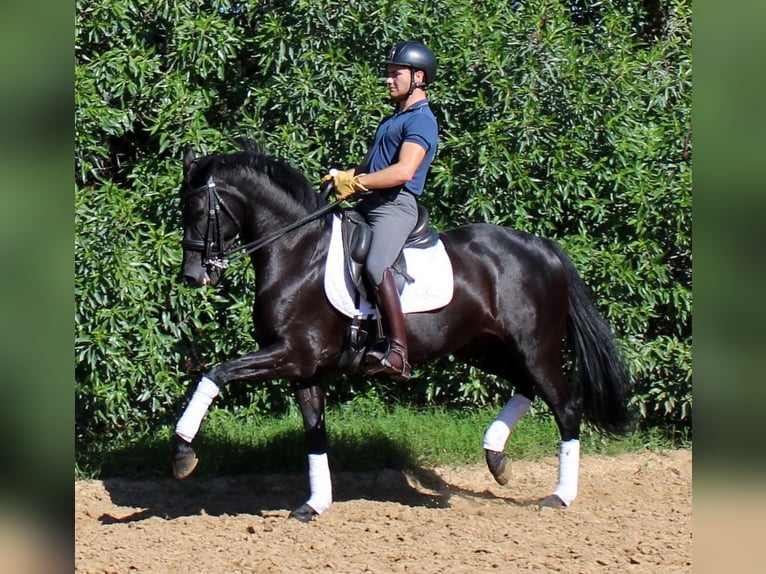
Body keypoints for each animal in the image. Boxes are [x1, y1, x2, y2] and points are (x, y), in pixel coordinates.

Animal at [174, 147, 636, 520]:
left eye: (197, 210)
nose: (193, 276)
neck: (297, 251)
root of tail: (543, 248)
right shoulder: (305, 368)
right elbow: (315, 432)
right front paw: (315, 504)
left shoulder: (290, 353)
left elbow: (215, 373)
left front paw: (183, 453)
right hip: (483, 348)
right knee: (526, 387)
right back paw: (496, 458)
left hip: (535, 347)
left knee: (566, 406)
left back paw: (559, 495)